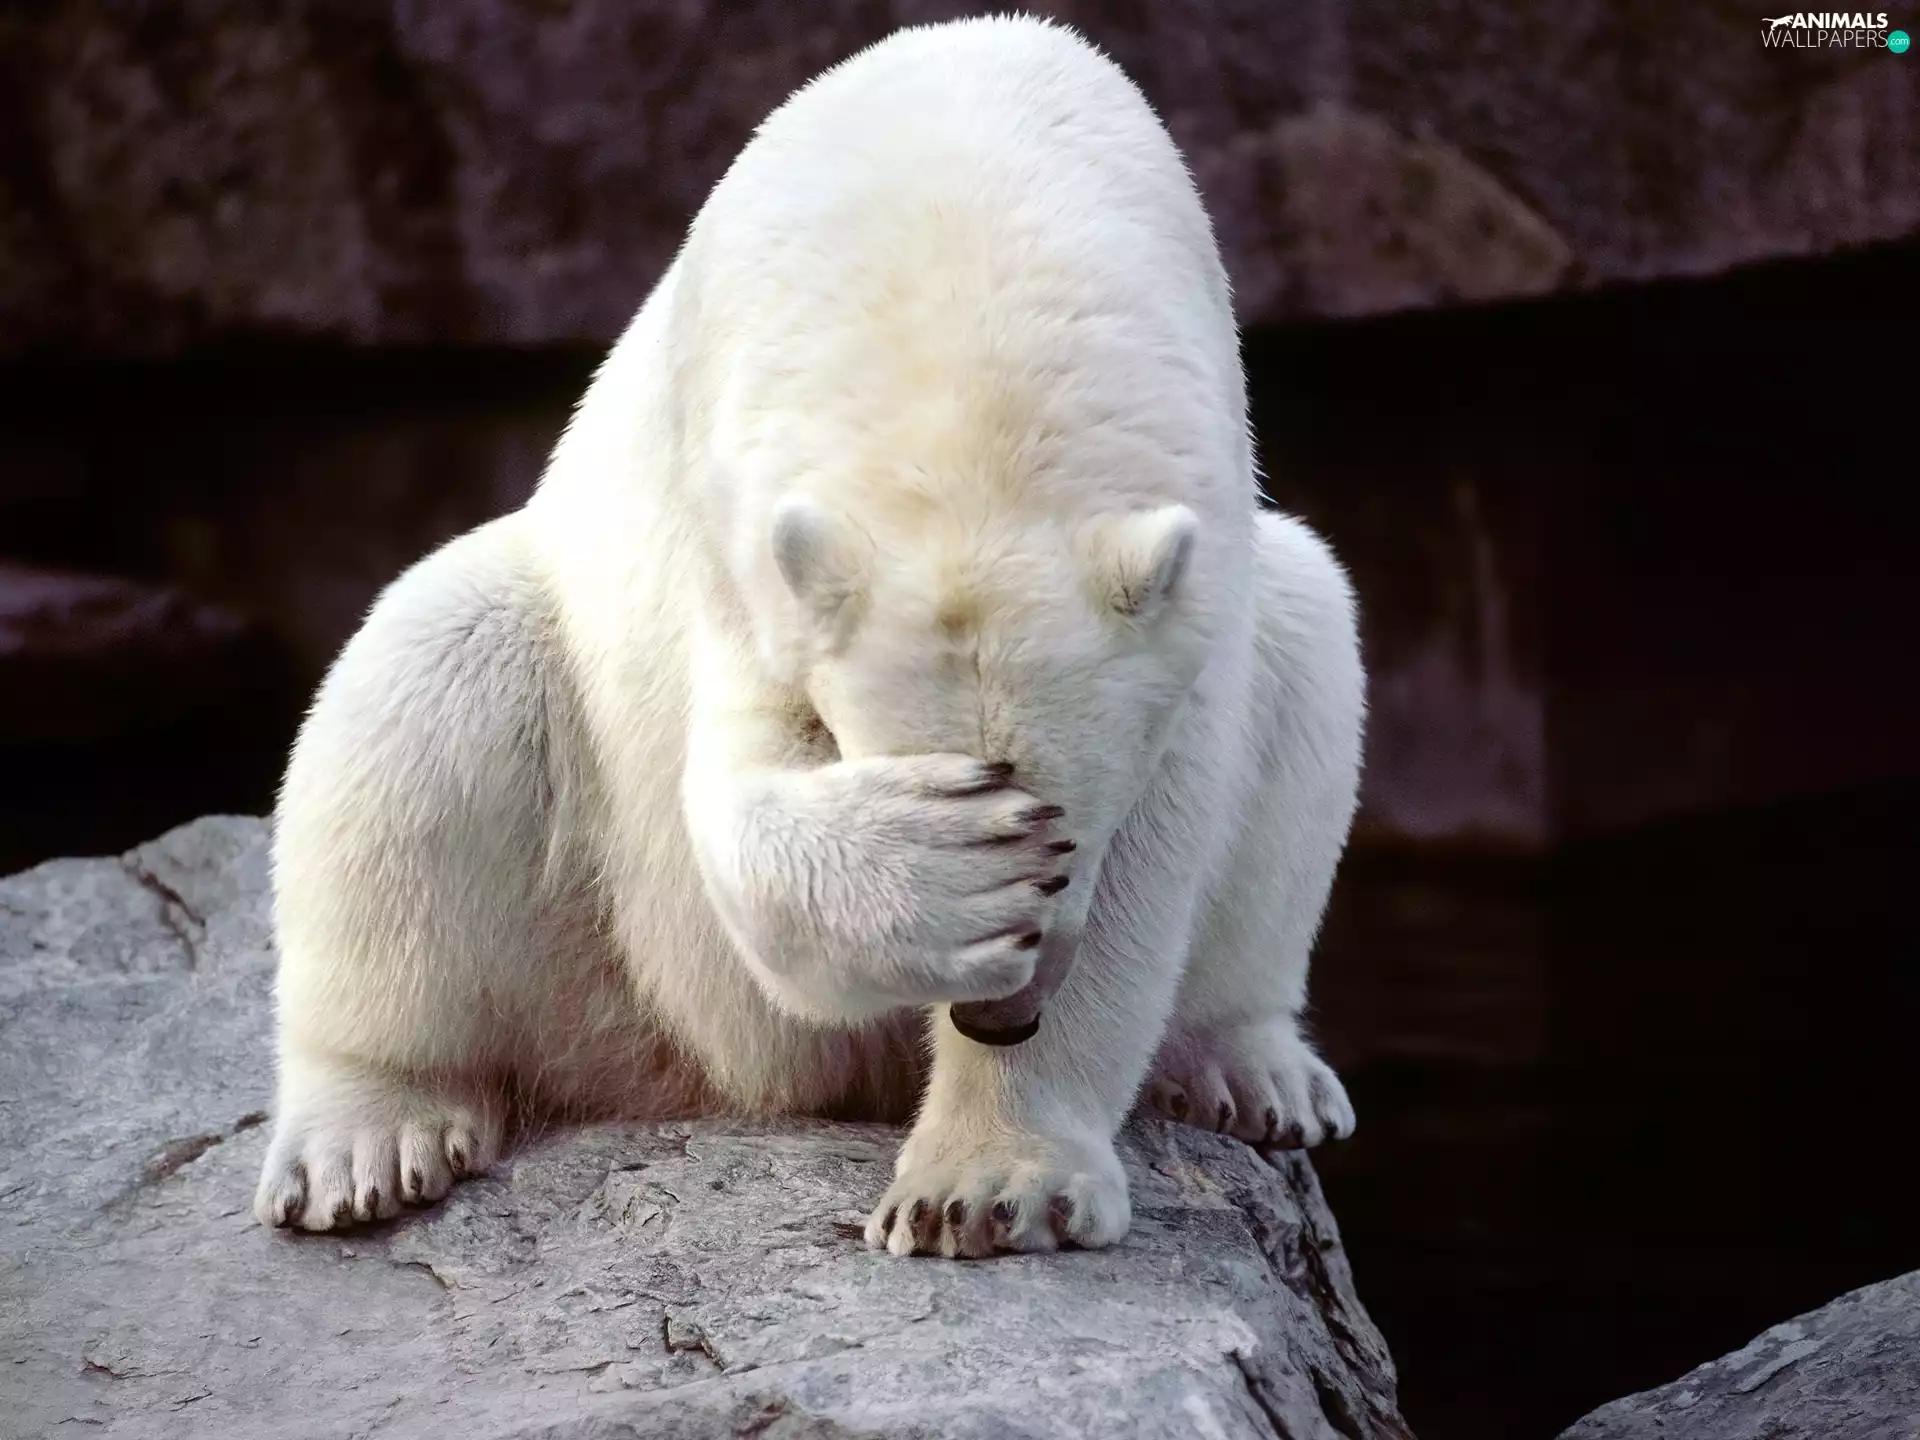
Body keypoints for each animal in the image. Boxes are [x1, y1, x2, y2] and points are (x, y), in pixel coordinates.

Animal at [253, 14, 1365, 1258]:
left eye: (1069, 829)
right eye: (1001, 812)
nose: (1001, 1016)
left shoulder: (1197, 571)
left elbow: (1162, 842)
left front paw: (985, 1187)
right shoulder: (738, 526)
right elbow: (736, 797)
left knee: (1311, 635)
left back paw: (1253, 1069)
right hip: (599, 927)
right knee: (425, 681)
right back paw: (364, 1140)